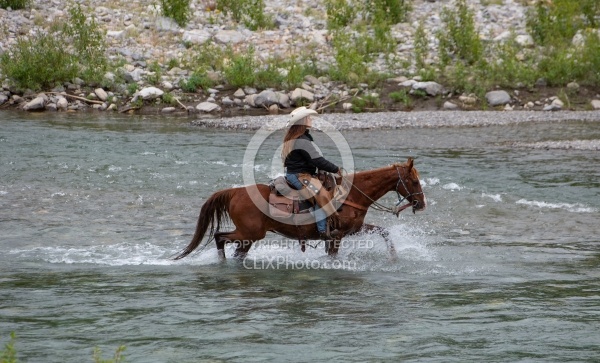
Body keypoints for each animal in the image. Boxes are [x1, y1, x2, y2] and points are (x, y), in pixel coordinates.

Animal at [173, 158, 426, 260]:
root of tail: (236, 192)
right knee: (219, 237)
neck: (352, 195)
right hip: (250, 233)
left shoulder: (354, 230)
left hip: (248, 237)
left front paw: (394, 257)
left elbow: (384, 232)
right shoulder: (337, 236)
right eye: (414, 181)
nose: (421, 204)